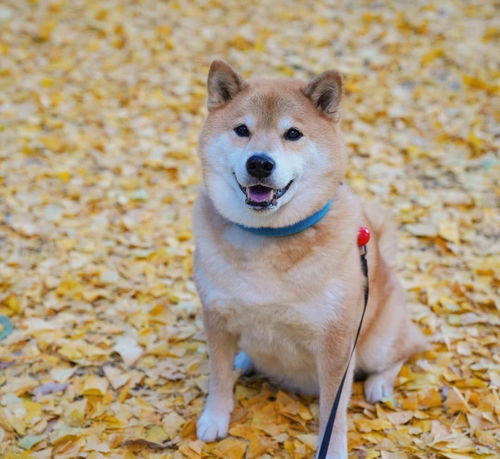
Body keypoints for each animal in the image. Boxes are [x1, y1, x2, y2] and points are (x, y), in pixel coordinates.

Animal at [191, 59, 426, 458]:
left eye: (293, 134)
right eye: (242, 130)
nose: (259, 163)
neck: (267, 237)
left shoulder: (336, 347)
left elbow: (334, 412)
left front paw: (333, 451)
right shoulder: (217, 317)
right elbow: (218, 376)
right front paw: (215, 418)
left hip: (378, 341)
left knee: (405, 350)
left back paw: (379, 384)